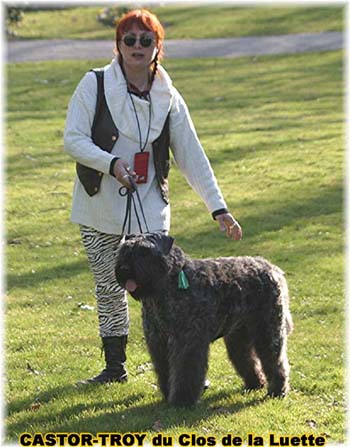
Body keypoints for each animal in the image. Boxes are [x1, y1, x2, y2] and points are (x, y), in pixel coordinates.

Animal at [115, 234, 292, 410]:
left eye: (144, 251)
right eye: (123, 251)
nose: (124, 268)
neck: (170, 282)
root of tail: (273, 269)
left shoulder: (187, 343)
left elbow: (185, 371)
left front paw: (182, 401)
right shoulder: (158, 343)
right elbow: (164, 369)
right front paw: (167, 393)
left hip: (268, 332)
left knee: (275, 361)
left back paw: (277, 391)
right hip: (238, 336)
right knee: (247, 359)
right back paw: (255, 384)